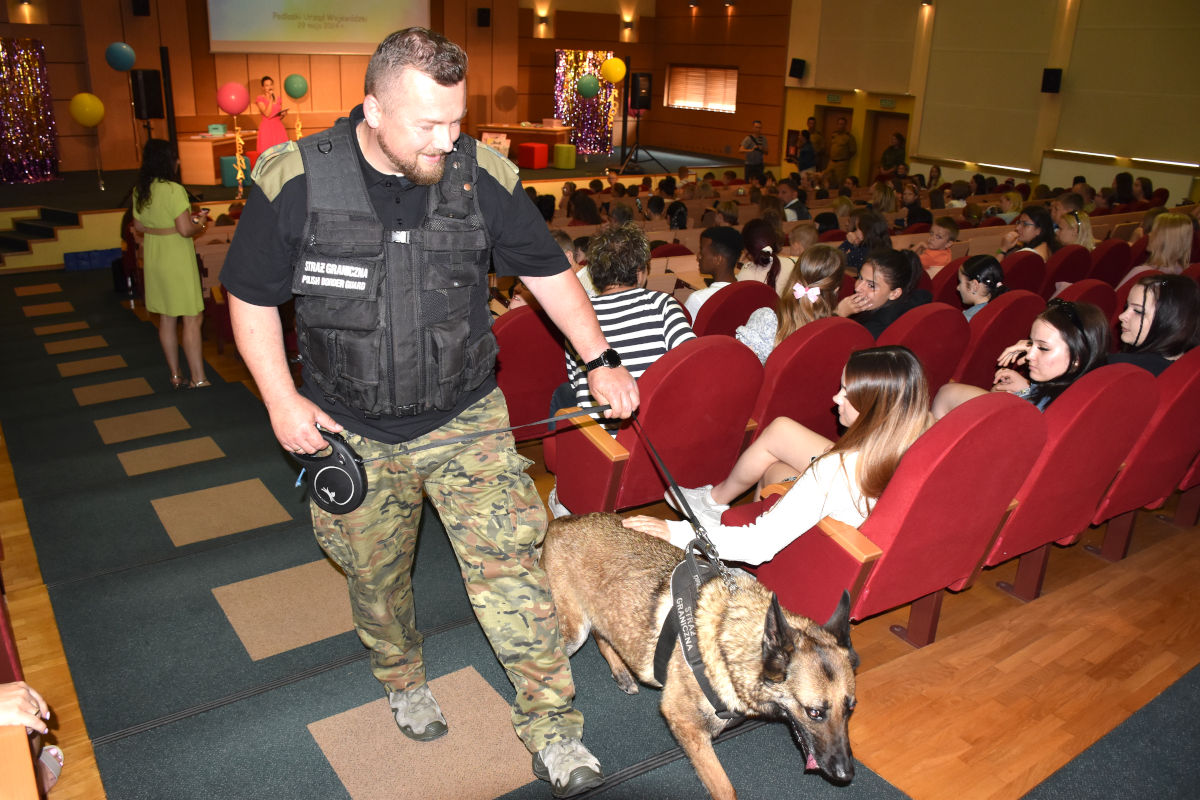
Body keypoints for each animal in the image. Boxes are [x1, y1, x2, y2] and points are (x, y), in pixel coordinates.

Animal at [540, 513, 859, 800]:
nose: (846, 774)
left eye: (850, 709)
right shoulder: (686, 725)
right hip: (573, 632)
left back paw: (621, 672)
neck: (727, 639)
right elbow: (725, 789)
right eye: (814, 712)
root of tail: (561, 521)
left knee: (602, 634)